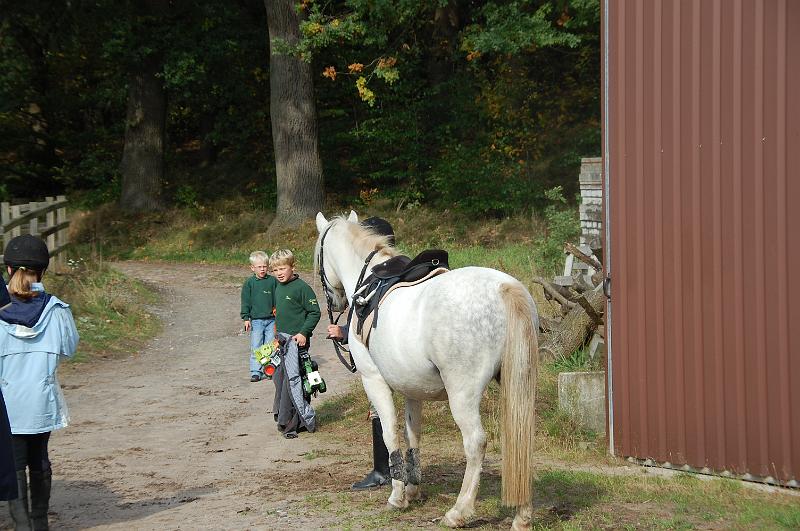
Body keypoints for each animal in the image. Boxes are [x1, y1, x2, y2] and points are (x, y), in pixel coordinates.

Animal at [316, 211, 540, 528]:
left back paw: (458, 512)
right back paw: (522, 518)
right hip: (518, 384)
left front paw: (397, 497)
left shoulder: (374, 381)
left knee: (476, 443)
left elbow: (389, 434)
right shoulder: (413, 389)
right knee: (521, 440)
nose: (334, 303)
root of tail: (504, 288)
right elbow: (413, 435)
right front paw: (413, 490)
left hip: (462, 395)